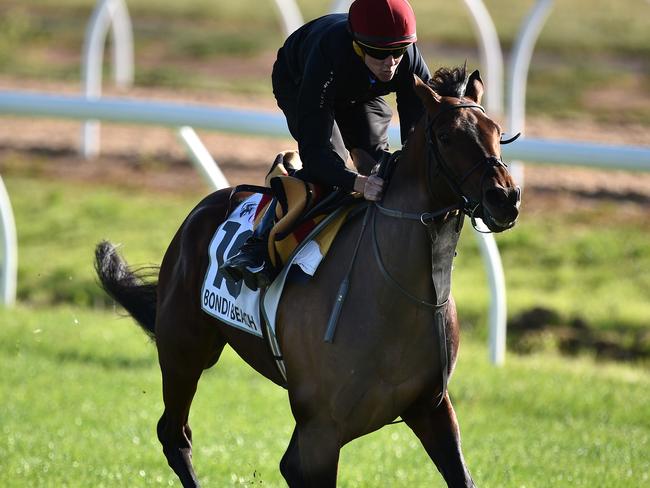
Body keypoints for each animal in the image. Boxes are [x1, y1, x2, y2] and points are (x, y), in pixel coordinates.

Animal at [96, 66, 520, 488]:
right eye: (447, 136)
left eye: (497, 131)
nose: (505, 197)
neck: (394, 299)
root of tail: (203, 207)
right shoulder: (321, 430)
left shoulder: (431, 408)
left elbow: (461, 477)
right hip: (183, 349)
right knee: (174, 434)